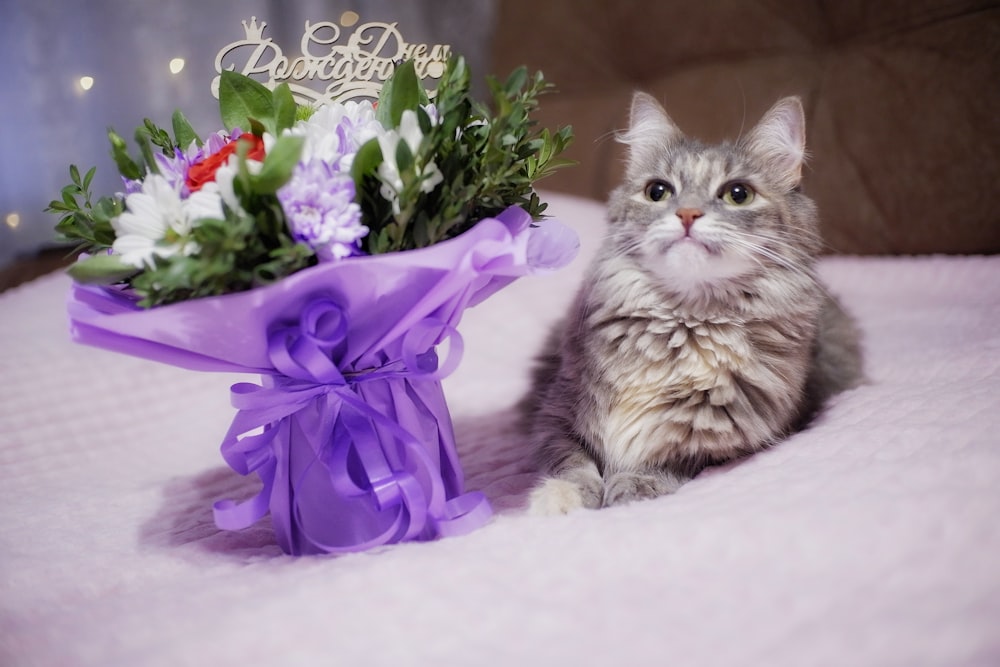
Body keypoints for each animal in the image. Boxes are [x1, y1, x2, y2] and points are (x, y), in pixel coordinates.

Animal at [524, 91, 860, 516]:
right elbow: (571, 461)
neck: (682, 322)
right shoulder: (555, 410)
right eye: (658, 191)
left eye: (738, 194)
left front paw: (633, 485)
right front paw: (561, 499)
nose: (687, 214)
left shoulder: (725, 438)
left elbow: (666, 457)